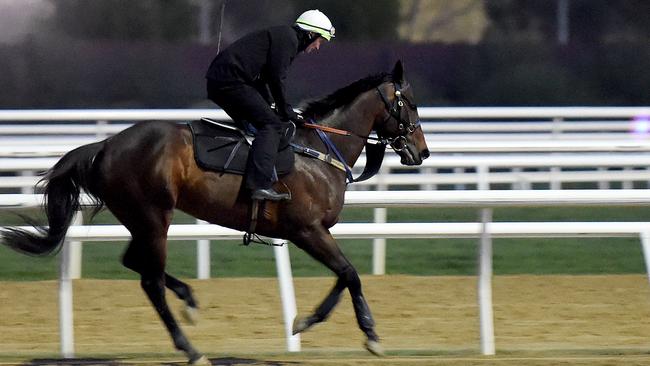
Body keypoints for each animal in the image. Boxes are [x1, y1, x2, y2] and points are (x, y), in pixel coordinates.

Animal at [2, 60, 428, 364]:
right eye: (408, 103)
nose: (421, 152)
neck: (317, 150)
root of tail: (105, 145)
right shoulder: (307, 230)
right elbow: (350, 273)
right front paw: (366, 334)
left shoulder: (312, 232)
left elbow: (344, 275)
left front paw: (313, 322)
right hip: (154, 216)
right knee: (150, 280)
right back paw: (191, 349)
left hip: (140, 219)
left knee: (135, 263)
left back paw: (189, 301)